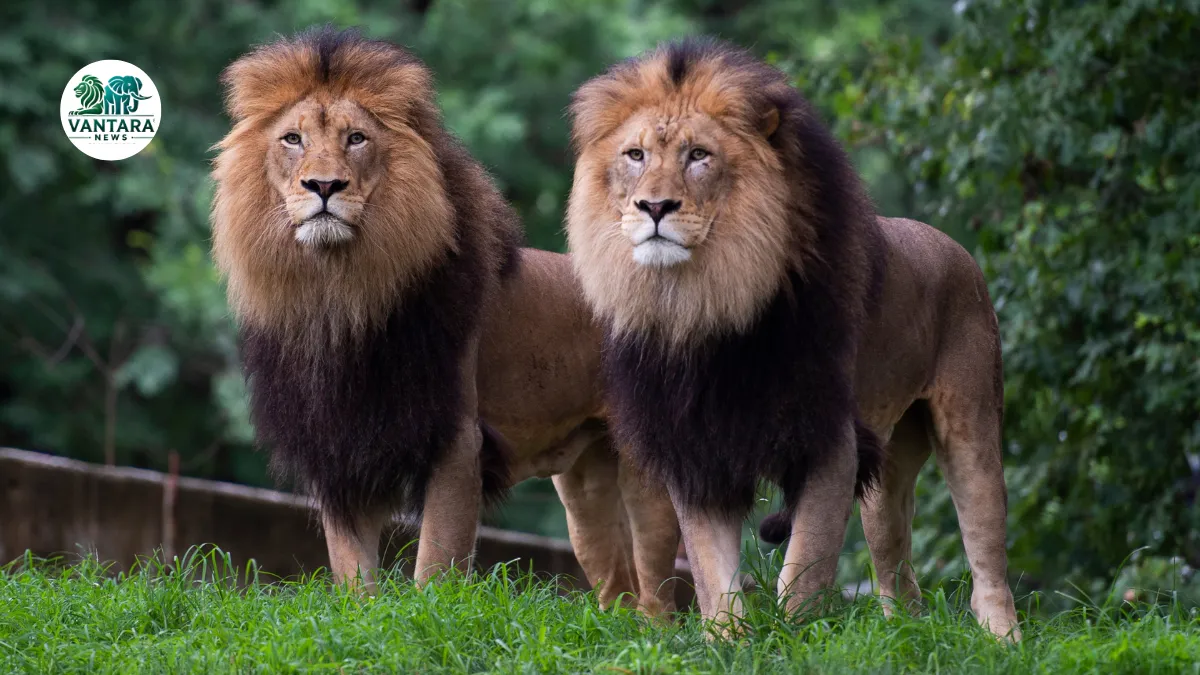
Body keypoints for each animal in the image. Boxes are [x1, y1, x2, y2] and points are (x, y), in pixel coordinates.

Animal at [210, 26, 679, 615]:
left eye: (356, 139)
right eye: (292, 139)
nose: (323, 186)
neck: (338, 296)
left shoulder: (455, 440)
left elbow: (436, 563)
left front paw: (424, 618)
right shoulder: (341, 447)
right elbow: (352, 572)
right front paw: (362, 620)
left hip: (644, 472)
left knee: (659, 595)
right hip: (585, 490)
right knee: (618, 586)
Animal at [565, 38, 1021, 640]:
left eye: (699, 155)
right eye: (635, 155)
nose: (655, 207)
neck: (702, 304)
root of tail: (956, 248)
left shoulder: (830, 438)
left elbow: (805, 564)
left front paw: (795, 637)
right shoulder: (697, 445)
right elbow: (713, 573)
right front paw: (727, 641)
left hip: (970, 427)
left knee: (987, 550)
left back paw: (1002, 639)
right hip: (887, 468)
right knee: (896, 567)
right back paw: (905, 635)